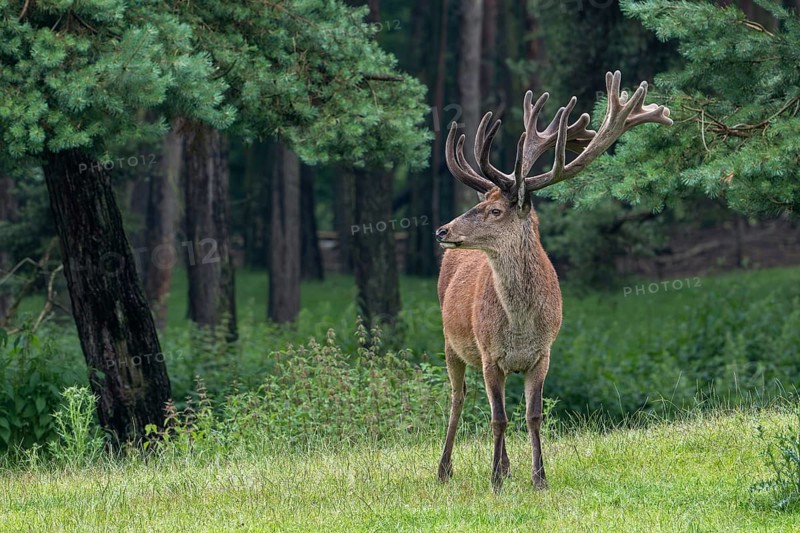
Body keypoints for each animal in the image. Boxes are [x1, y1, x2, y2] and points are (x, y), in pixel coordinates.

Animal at [434, 71, 672, 490]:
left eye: (494, 211)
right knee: (458, 398)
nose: (442, 229)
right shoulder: (490, 354)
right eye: (482, 205)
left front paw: (538, 478)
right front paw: (495, 481)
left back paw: (505, 467)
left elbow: (533, 416)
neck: (520, 325)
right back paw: (444, 469)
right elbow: (498, 418)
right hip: (451, 342)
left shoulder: (543, 354)